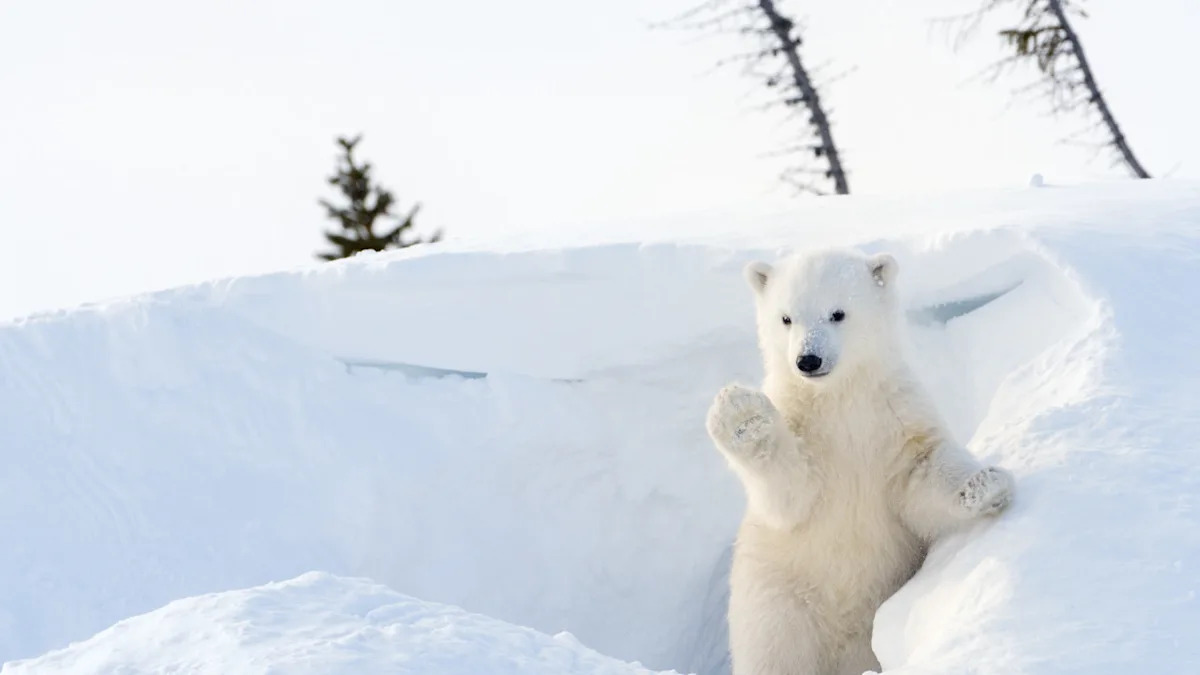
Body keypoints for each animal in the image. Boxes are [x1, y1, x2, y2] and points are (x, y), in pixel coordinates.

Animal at [706, 248, 1014, 675]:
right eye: (786, 318)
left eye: (838, 313)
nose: (808, 359)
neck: (840, 398)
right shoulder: (803, 428)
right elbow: (791, 495)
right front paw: (741, 414)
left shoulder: (894, 415)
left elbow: (921, 471)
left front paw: (986, 484)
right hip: (778, 601)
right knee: (775, 655)